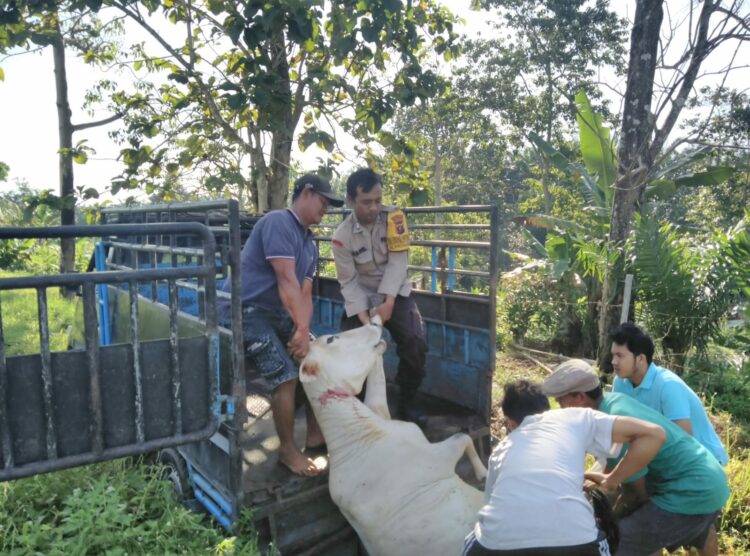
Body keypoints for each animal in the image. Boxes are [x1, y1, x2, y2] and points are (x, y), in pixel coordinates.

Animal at [300, 318, 488, 556]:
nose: (374, 322)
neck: (359, 433)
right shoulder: (437, 460)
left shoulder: (379, 409)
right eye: (331, 339)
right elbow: (464, 437)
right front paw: (484, 473)